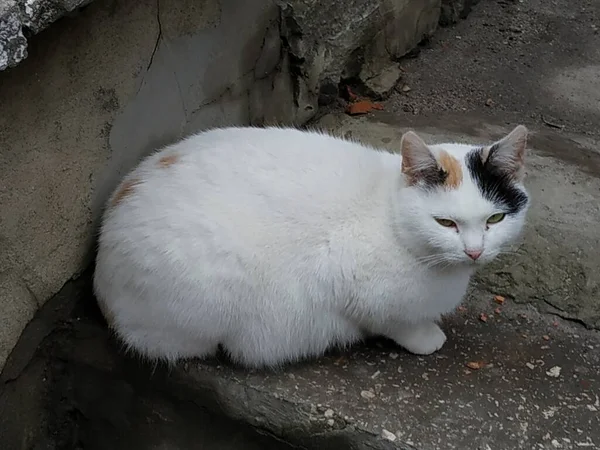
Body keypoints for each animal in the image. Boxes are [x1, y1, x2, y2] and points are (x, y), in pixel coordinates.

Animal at [94, 125, 528, 368]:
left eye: (494, 219)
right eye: (445, 223)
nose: (474, 251)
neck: (390, 216)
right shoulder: (349, 282)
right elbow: (395, 322)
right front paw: (426, 339)